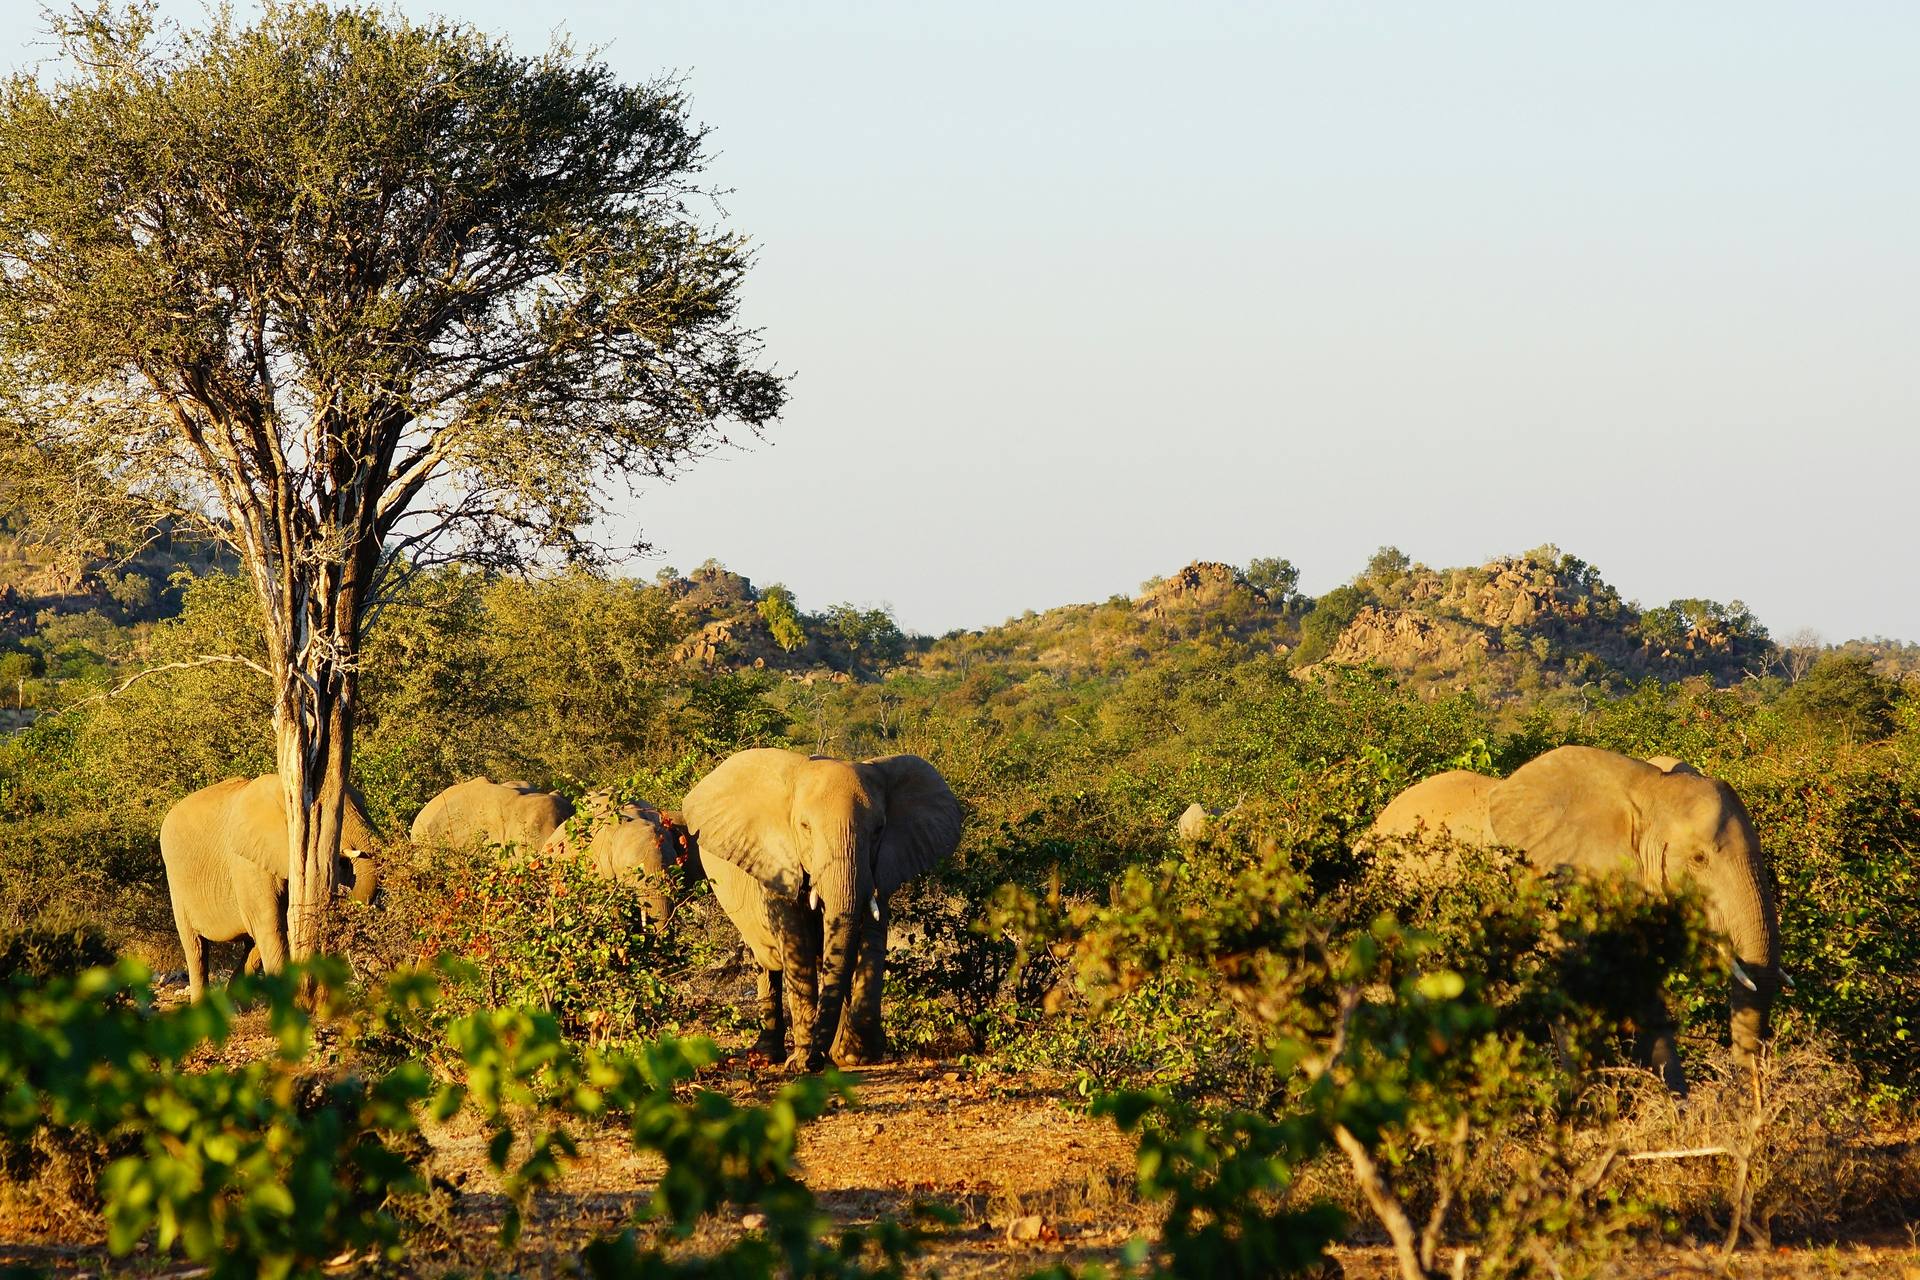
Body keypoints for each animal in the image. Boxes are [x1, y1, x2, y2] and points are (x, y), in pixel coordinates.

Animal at [161, 775, 381, 1001]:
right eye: (329, 816)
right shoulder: (248, 862)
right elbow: (270, 925)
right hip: (176, 883)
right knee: (196, 949)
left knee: (249, 945)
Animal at [682, 748, 963, 1071]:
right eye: (805, 827)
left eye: (879, 830)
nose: (815, 1062)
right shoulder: (776, 863)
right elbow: (799, 947)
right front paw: (802, 1062)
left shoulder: (882, 865)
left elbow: (871, 938)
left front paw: (854, 1055)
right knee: (767, 963)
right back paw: (768, 1056)